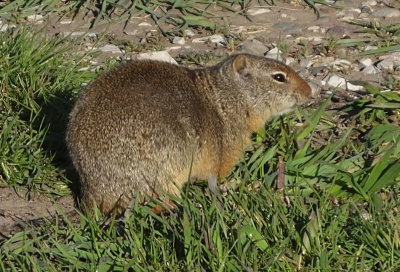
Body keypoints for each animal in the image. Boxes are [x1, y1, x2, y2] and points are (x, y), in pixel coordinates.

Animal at [66, 53, 312, 215]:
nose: (310, 92)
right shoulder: (227, 150)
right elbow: (219, 174)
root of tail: (94, 190)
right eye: (279, 77)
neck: (225, 98)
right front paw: (235, 184)